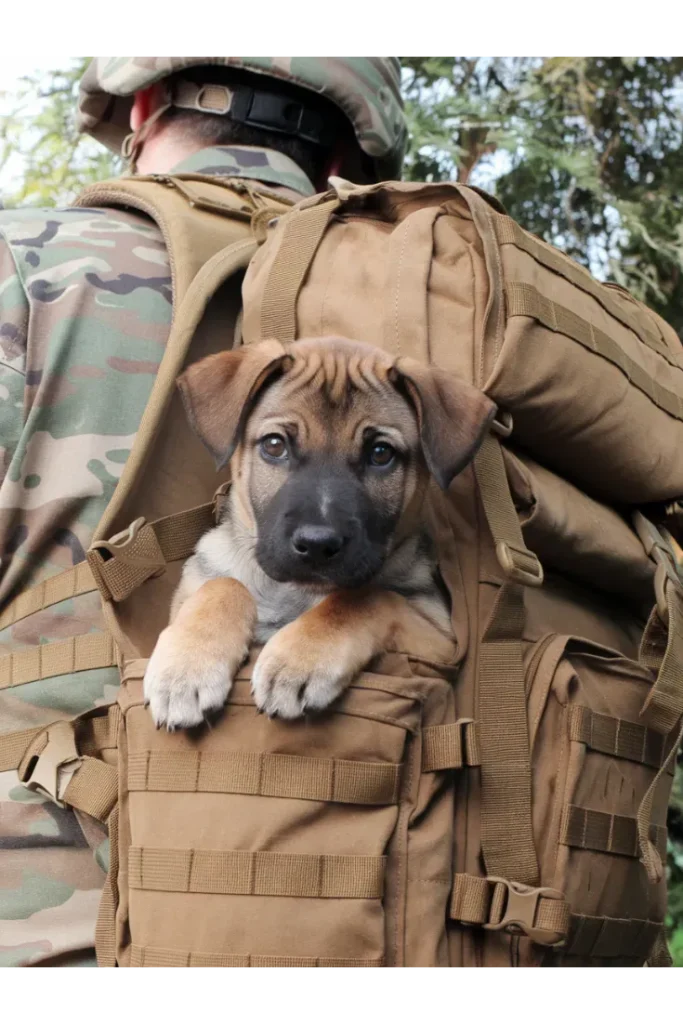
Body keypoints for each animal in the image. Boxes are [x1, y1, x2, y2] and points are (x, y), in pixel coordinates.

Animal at [144, 335, 497, 729]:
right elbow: (224, 584)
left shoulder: (441, 641)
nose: (316, 545)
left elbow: (364, 598)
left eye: (381, 453)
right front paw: (186, 668)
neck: (296, 593)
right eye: (274, 445)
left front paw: (300, 660)